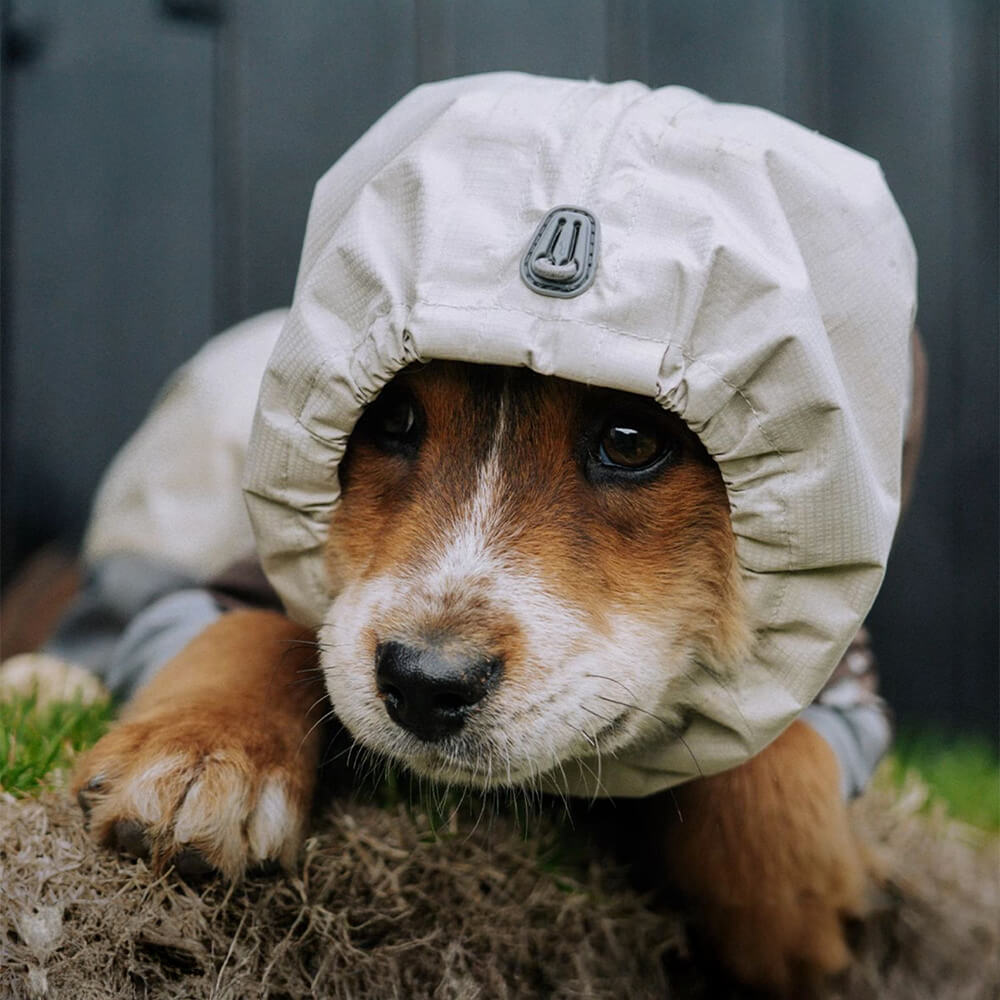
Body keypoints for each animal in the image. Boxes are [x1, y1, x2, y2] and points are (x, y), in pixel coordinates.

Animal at [72, 358, 892, 992]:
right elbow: (259, 627)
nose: (425, 685)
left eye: (630, 441)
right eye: (392, 416)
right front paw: (200, 756)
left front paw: (800, 913)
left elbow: (773, 742)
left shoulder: (845, 663)